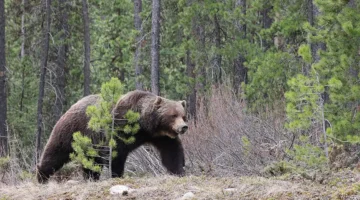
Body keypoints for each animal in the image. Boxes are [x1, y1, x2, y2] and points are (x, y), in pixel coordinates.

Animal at [36, 90, 188, 183]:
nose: (183, 127)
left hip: (90, 143)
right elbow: (116, 152)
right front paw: (117, 174)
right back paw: (42, 176)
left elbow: (172, 152)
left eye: (183, 115)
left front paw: (179, 170)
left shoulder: (161, 136)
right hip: (72, 130)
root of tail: (73, 105)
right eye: (173, 115)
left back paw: (91, 177)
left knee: (91, 161)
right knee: (55, 152)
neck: (143, 124)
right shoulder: (119, 125)